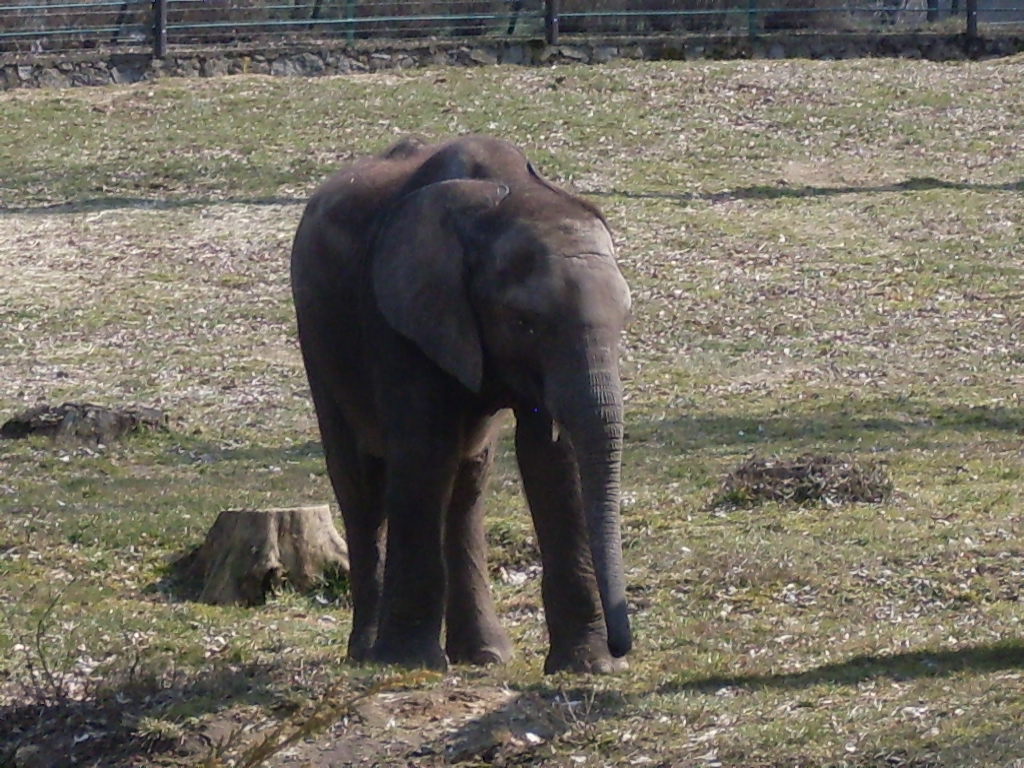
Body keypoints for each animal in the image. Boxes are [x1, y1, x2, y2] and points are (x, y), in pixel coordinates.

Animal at [290, 135, 632, 674]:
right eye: (525, 322)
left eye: (624, 320)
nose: (624, 647)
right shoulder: (400, 314)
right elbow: (425, 449)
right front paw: (407, 662)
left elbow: (552, 458)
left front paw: (587, 665)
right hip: (318, 338)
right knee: (361, 485)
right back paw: (367, 653)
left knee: (467, 480)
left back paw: (484, 656)